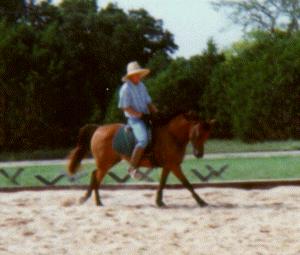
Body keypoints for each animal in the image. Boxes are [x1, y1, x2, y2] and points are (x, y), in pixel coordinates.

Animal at [67, 112, 214, 207]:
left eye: (207, 135)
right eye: (197, 133)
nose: (199, 154)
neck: (172, 135)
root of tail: (98, 129)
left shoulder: (169, 165)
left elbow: (162, 183)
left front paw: (159, 202)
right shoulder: (174, 166)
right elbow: (187, 184)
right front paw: (201, 202)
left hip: (108, 163)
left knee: (94, 176)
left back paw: (87, 198)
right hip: (105, 164)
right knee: (96, 177)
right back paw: (97, 201)